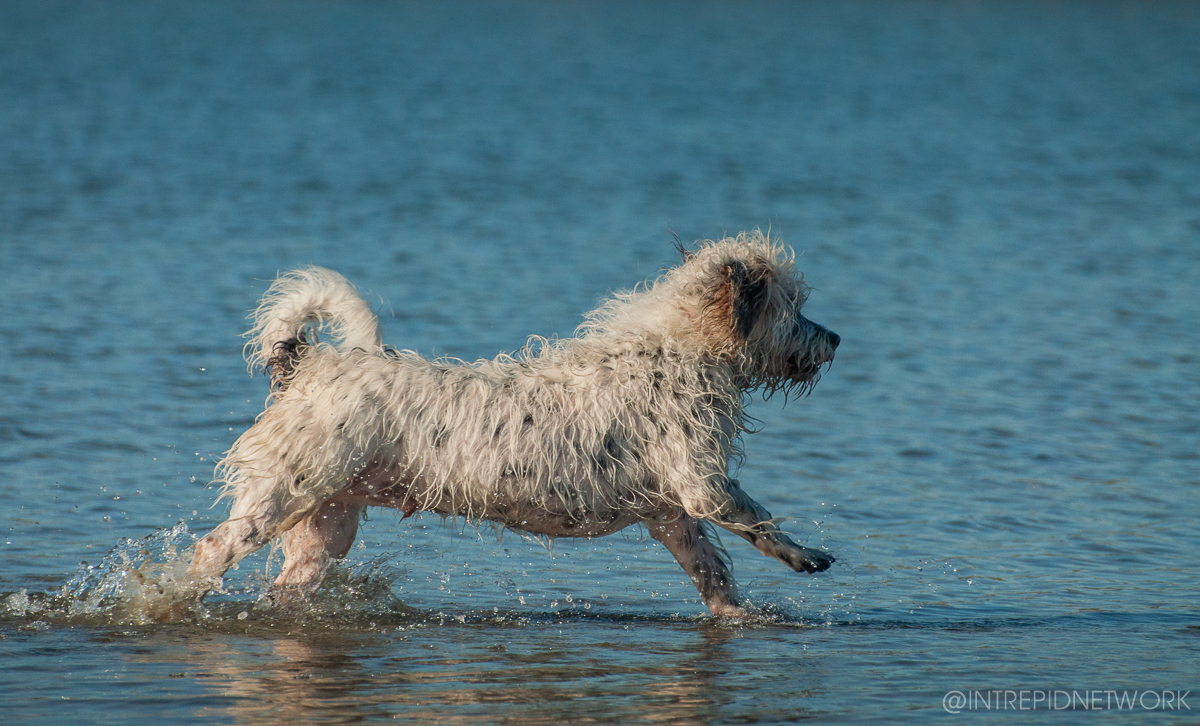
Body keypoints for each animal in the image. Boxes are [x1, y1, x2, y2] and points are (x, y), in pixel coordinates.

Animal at [187, 231, 840, 619]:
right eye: (793, 306)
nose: (835, 338)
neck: (678, 347)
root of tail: (307, 364)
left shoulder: (671, 515)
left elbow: (712, 572)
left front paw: (741, 614)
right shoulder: (703, 485)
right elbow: (760, 522)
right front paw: (805, 555)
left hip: (325, 526)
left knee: (286, 587)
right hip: (283, 494)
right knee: (211, 549)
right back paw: (174, 598)